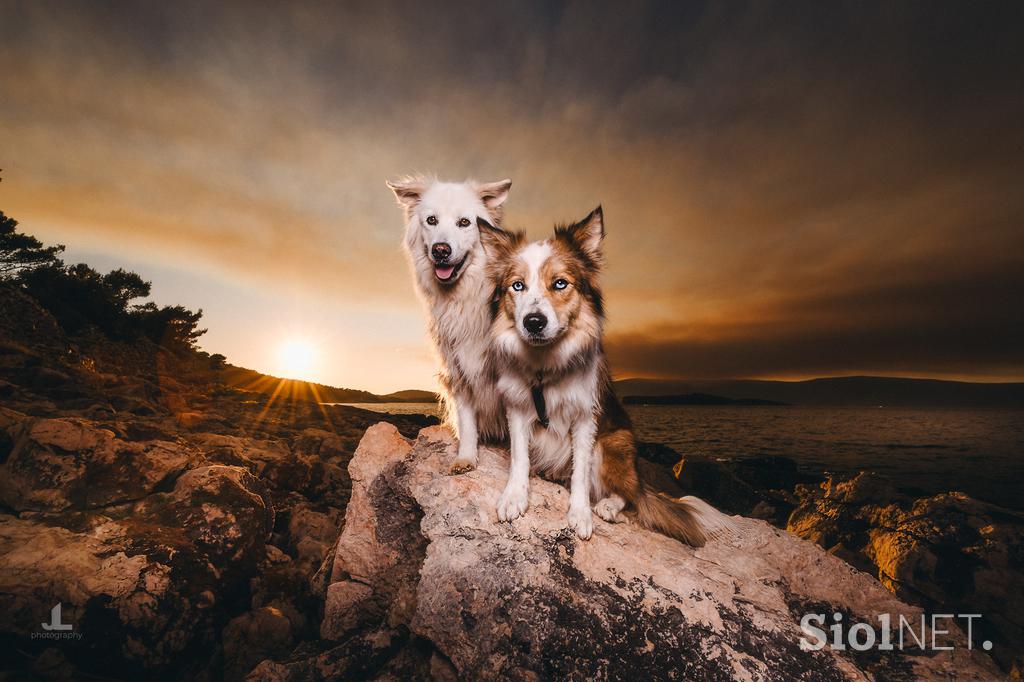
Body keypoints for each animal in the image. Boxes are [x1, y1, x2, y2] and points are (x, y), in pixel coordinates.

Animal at [387, 178, 512, 471]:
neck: (465, 298)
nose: (440, 250)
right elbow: (467, 423)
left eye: (464, 222)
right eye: (431, 220)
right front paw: (466, 457)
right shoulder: (458, 373)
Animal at [475, 206, 733, 540]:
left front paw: (580, 513)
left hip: (615, 444)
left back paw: (609, 505)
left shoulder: (586, 418)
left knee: (630, 494)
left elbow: (581, 475)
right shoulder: (517, 408)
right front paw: (514, 496)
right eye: (517, 285)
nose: (533, 322)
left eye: (560, 284)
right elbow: (520, 457)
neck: (545, 366)